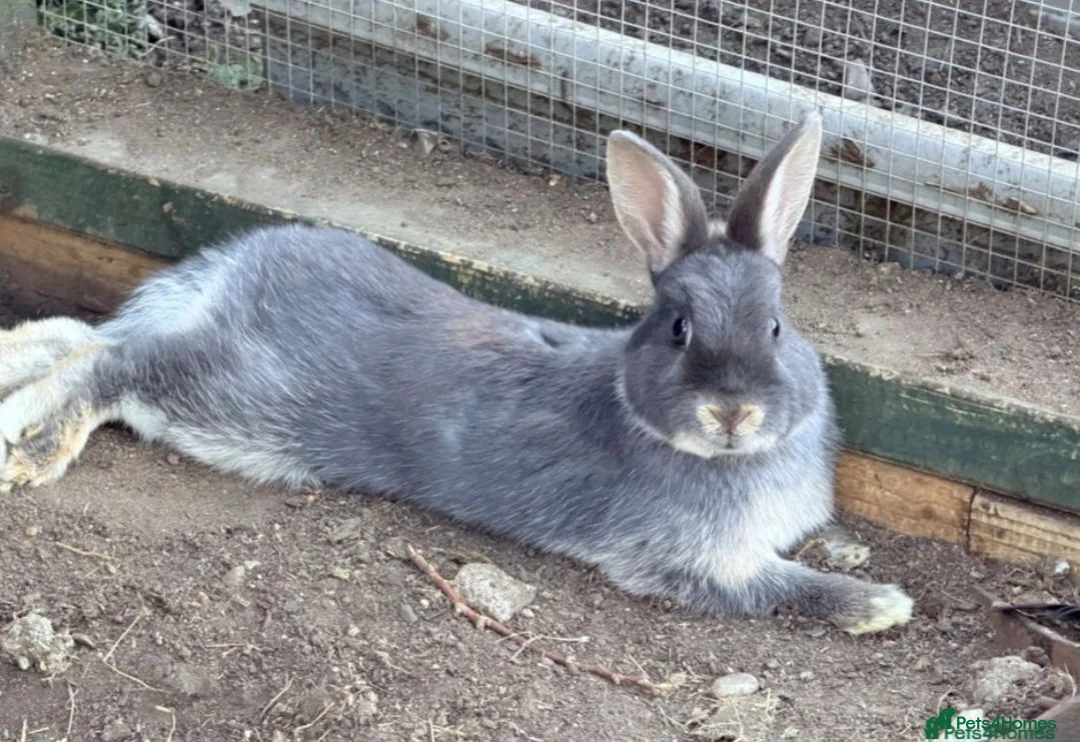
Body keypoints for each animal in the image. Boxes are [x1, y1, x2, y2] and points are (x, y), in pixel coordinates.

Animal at [0, 111, 913, 634]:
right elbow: (782, 587)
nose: (732, 413)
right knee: (113, 361)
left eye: (776, 325)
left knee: (79, 333)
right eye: (680, 329)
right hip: (234, 401)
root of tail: (228, 272)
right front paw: (883, 606)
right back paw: (31, 449)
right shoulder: (684, 563)